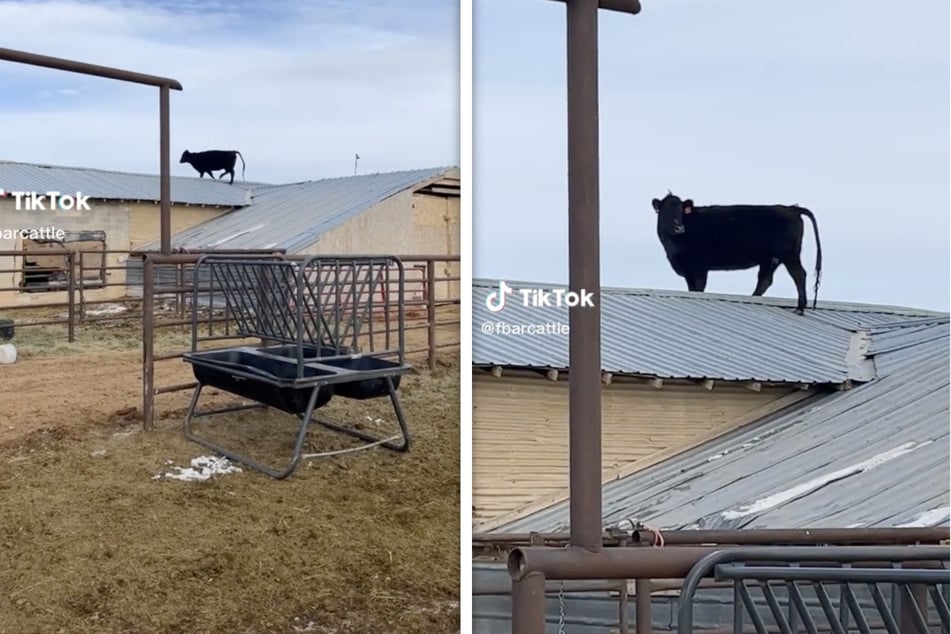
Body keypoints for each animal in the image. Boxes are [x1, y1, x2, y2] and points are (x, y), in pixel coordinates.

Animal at [652, 190, 820, 314]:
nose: (679, 228)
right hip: (771, 259)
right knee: (765, 280)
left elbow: (699, 288)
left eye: (681, 211)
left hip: (789, 254)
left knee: (799, 275)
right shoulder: (688, 270)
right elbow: (691, 289)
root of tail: (791, 208)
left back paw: (799, 308)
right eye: (666, 211)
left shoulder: (699, 266)